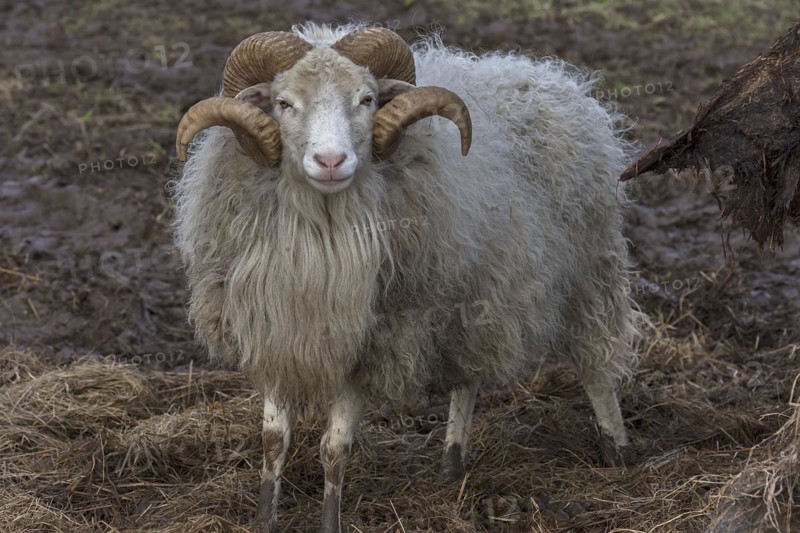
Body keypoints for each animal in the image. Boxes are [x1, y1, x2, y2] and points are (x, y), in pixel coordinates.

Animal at [173, 23, 641, 533]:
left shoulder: (373, 341)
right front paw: (264, 519)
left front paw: (330, 522)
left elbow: (334, 449)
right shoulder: (275, 333)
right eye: (283, 103)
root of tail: (549, 75)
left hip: (590, 266)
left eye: (367, 99)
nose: (331, 161)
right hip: (472, 292)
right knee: (468, 376)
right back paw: (452, 461)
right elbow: (273, 440)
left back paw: (617, 448)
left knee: (596, 363)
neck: (322, 234)